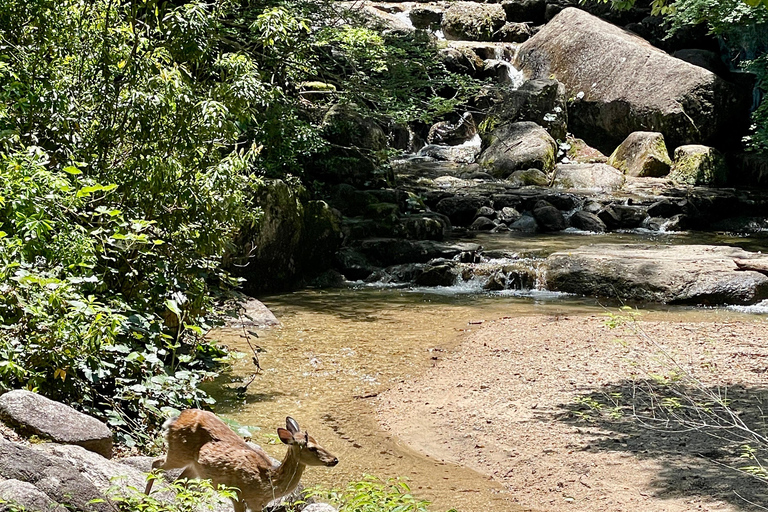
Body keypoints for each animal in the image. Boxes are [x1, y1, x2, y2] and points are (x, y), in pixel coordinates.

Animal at [146, 410, 338, 512]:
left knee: (180, 481)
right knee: (156, 464)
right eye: (311, 448)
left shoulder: (258, 503)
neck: (268, 482)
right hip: (178, 452)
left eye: (318, 441)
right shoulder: (239, 494)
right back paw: (145, 499)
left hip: (195, 467)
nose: (335, 459)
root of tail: (173, 419)